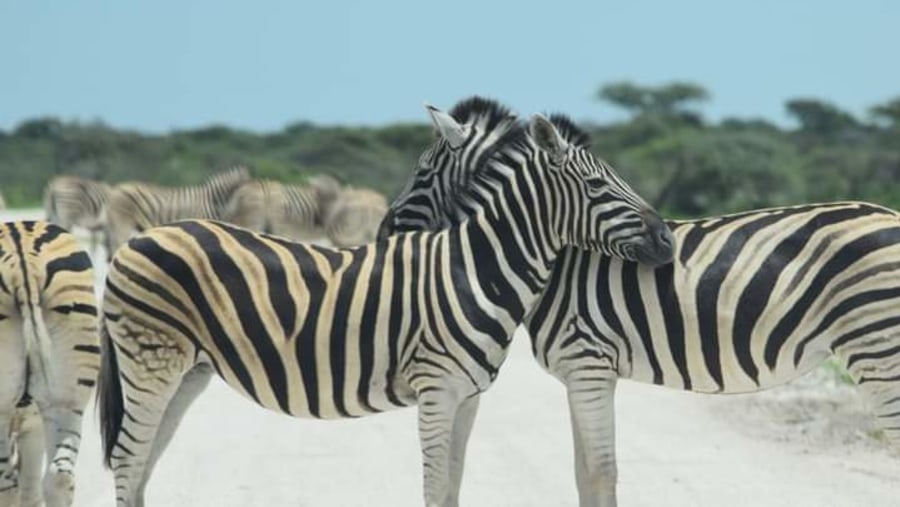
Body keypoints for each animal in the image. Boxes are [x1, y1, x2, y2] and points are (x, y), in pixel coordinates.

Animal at [0, 221, 100, 507]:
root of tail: (21, 260)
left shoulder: (27, 427)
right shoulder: (31, 423)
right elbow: (31, 492)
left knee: (7, 485)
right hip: (67, 400)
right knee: (59, 477)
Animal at [380, 118, 900, 504]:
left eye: (422, 172)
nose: (384, 229)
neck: (555, 256)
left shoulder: (588, 365)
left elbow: (599, 473)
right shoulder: (582, 375)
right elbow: (583, 471)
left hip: (879, 348)